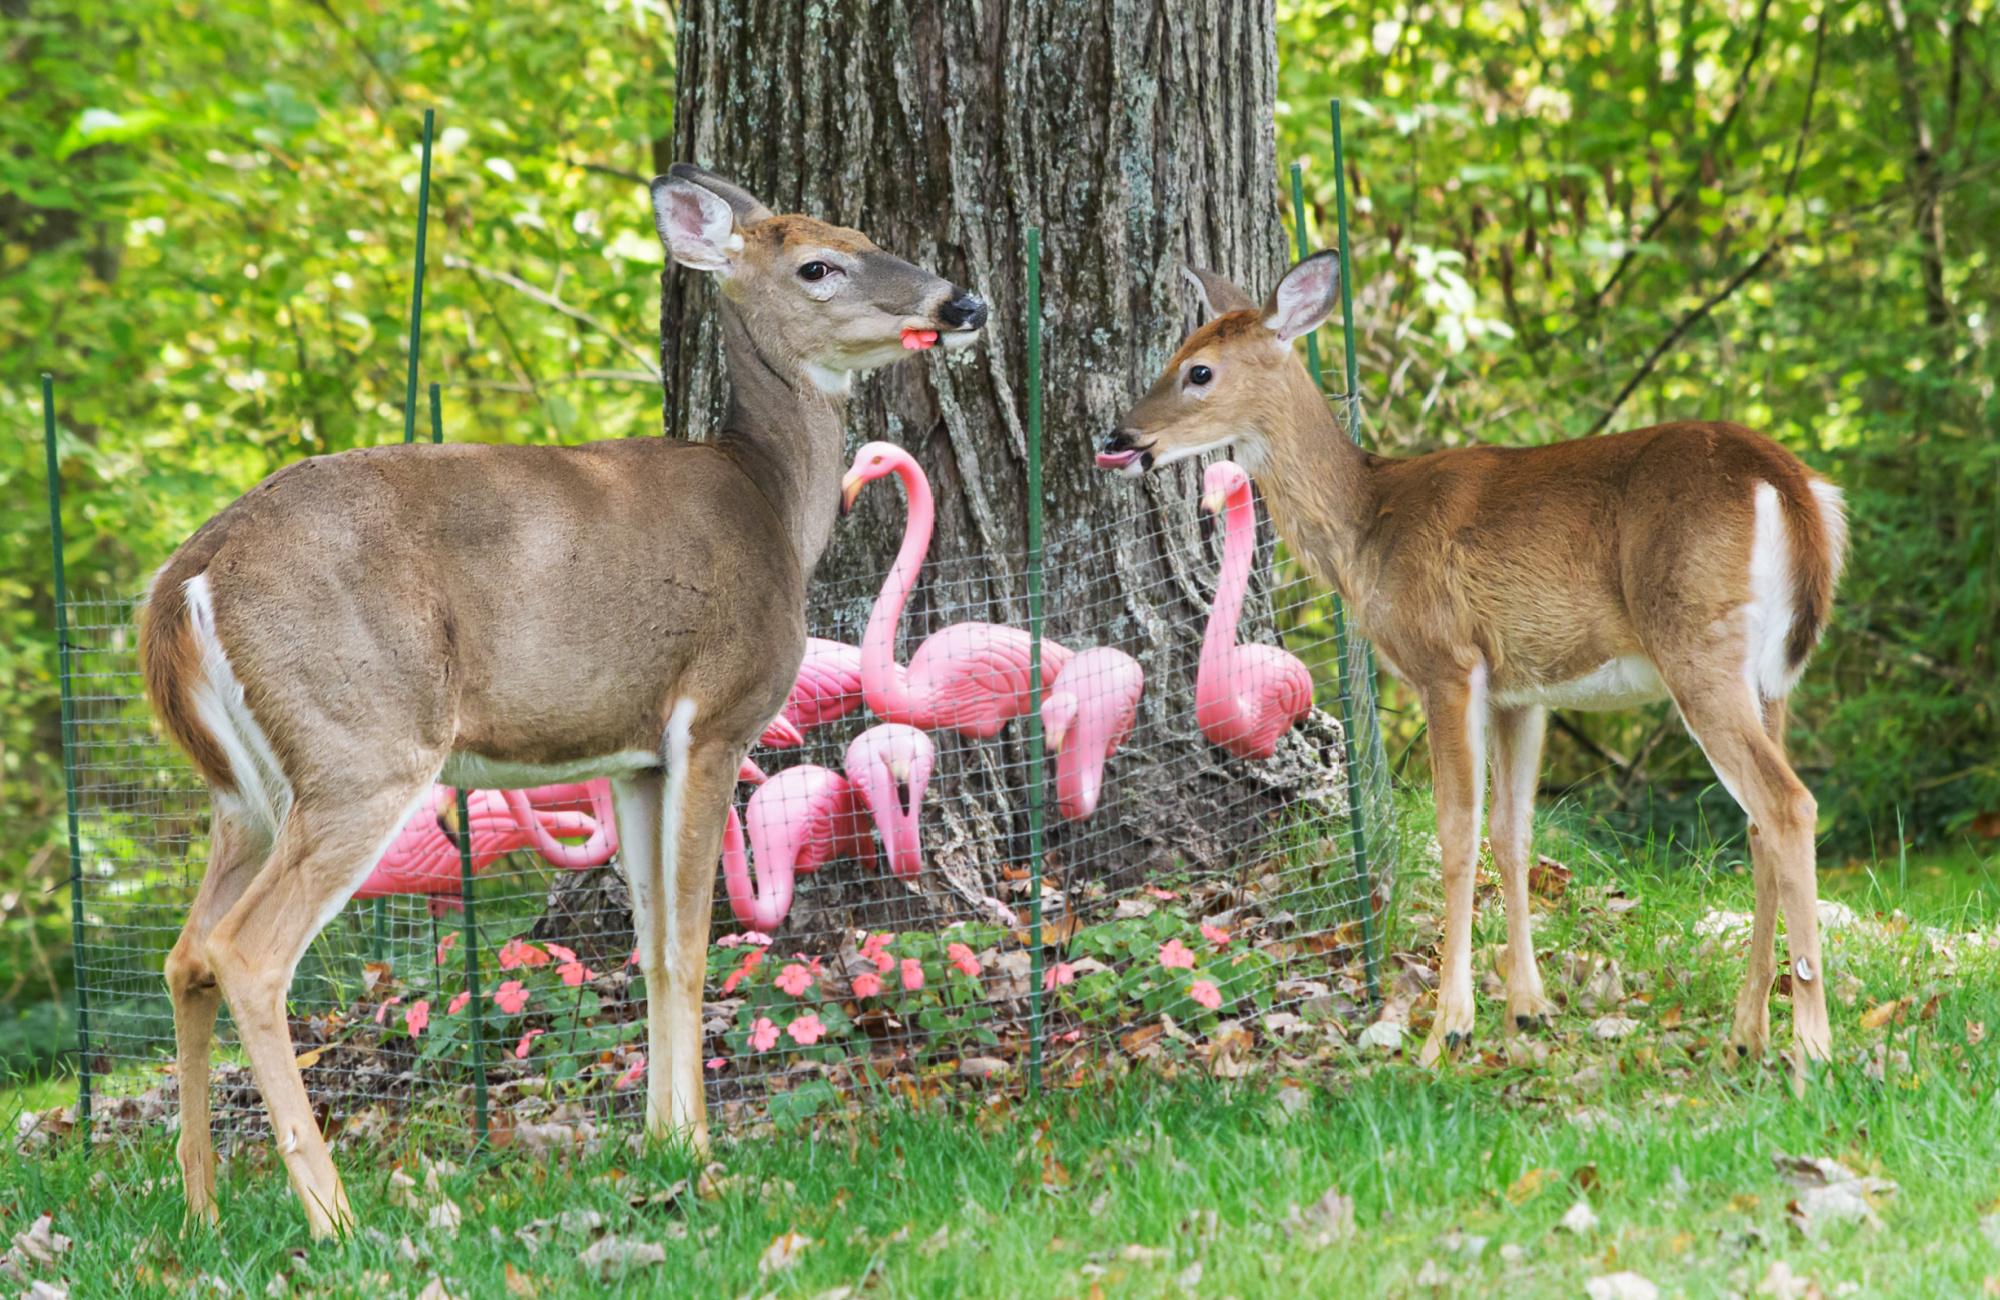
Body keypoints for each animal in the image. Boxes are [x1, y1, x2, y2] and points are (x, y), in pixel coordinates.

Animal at [139, 167, 984, 1232]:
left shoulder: (634, 755)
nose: (962, 303)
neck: (769, 506)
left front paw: (664, 1141)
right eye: (818, 265)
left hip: (244, 789)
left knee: (184, 954)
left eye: (865, 233)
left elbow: (652, 946)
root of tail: (186, 579)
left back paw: (202, 1210)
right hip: (360, 745)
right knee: (247, 951)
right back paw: (336, 1218)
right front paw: (705, 1158)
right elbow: (695, 944)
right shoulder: (715, 715)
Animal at [1104, 251, 1848, 1072]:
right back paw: (1747, 1033)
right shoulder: (1521, 690)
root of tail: (1792, 484)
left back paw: (1811, 1047)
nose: (1121, 435)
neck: (1367, 526)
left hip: (1697, 643)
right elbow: (1512, 834)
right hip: (1770, 676)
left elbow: (1456, 834)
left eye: (1198, 370)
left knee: (1788, 805)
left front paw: (1446, 1029)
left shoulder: (1446, 661)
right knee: (1759, 823)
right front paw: (1528, 1010)